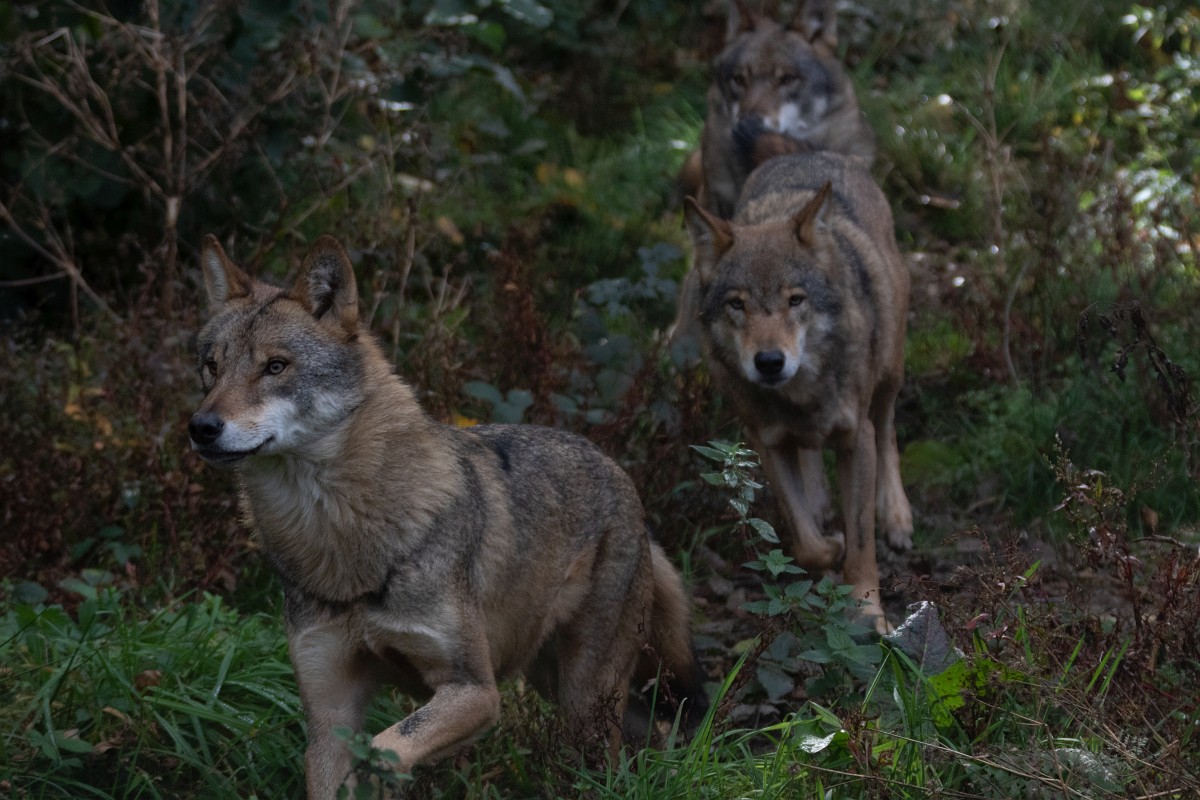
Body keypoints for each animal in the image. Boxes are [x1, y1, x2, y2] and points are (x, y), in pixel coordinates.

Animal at [188, 235, 707, 799]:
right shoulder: (328, 719)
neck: (343, 540)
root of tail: (621, 476)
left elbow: (387, 747)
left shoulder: (476, 690)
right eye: (211, 367)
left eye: (276, 367)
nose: (201, 427)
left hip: (584, 700)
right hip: (565, 689)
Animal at [684, 150, 913, 633]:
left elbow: (861, 541)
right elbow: (805, 541)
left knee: (888, 431)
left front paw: (868, 614)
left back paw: (897, 517)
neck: (802, 396)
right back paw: (823, 503)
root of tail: (806, 152)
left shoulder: (855, 439)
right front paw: (830, 546)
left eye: (795, 299)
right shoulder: (766, 443)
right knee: (811, 458)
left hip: (889, 372)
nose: (770, 361)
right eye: (737, 304)